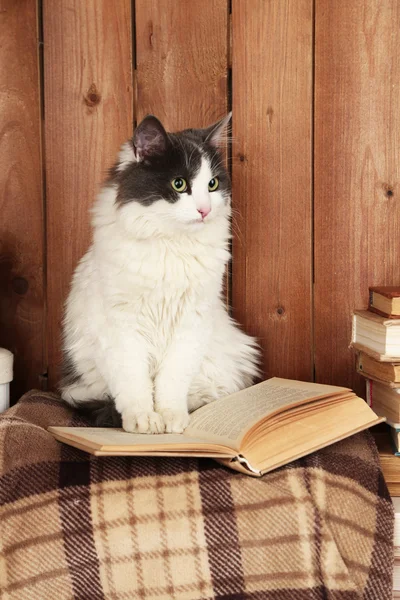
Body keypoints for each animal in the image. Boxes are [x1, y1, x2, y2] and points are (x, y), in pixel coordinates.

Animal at [59, 113, 260, 432]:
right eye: (179, 184)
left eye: (212, 184)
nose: (204, 210)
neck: (171, 244)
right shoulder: (122, 326)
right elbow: (134, 384)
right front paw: (142, 420)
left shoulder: (191, 323)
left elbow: (171, 382)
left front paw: (172, 418)